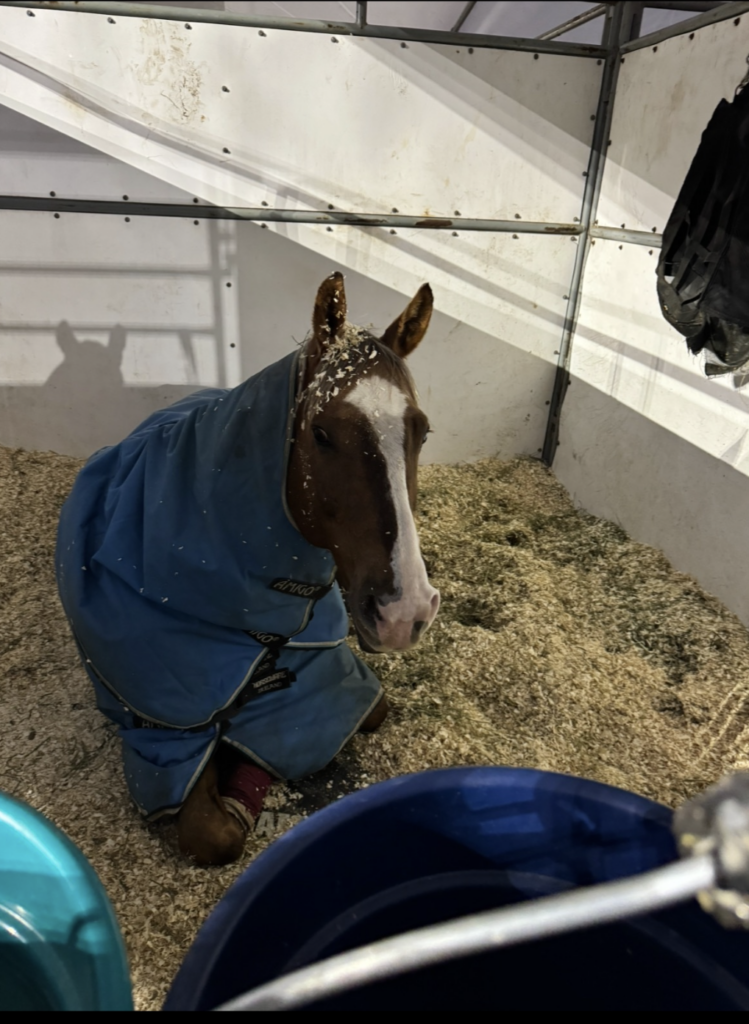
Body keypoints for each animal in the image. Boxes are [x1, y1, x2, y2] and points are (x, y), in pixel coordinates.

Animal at [56, 272, 439, 865]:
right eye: (322, 434)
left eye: (422, 432)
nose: (404, 611)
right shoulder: (162, 731)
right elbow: (214, 834)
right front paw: (235, 797)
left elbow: (370, 710)